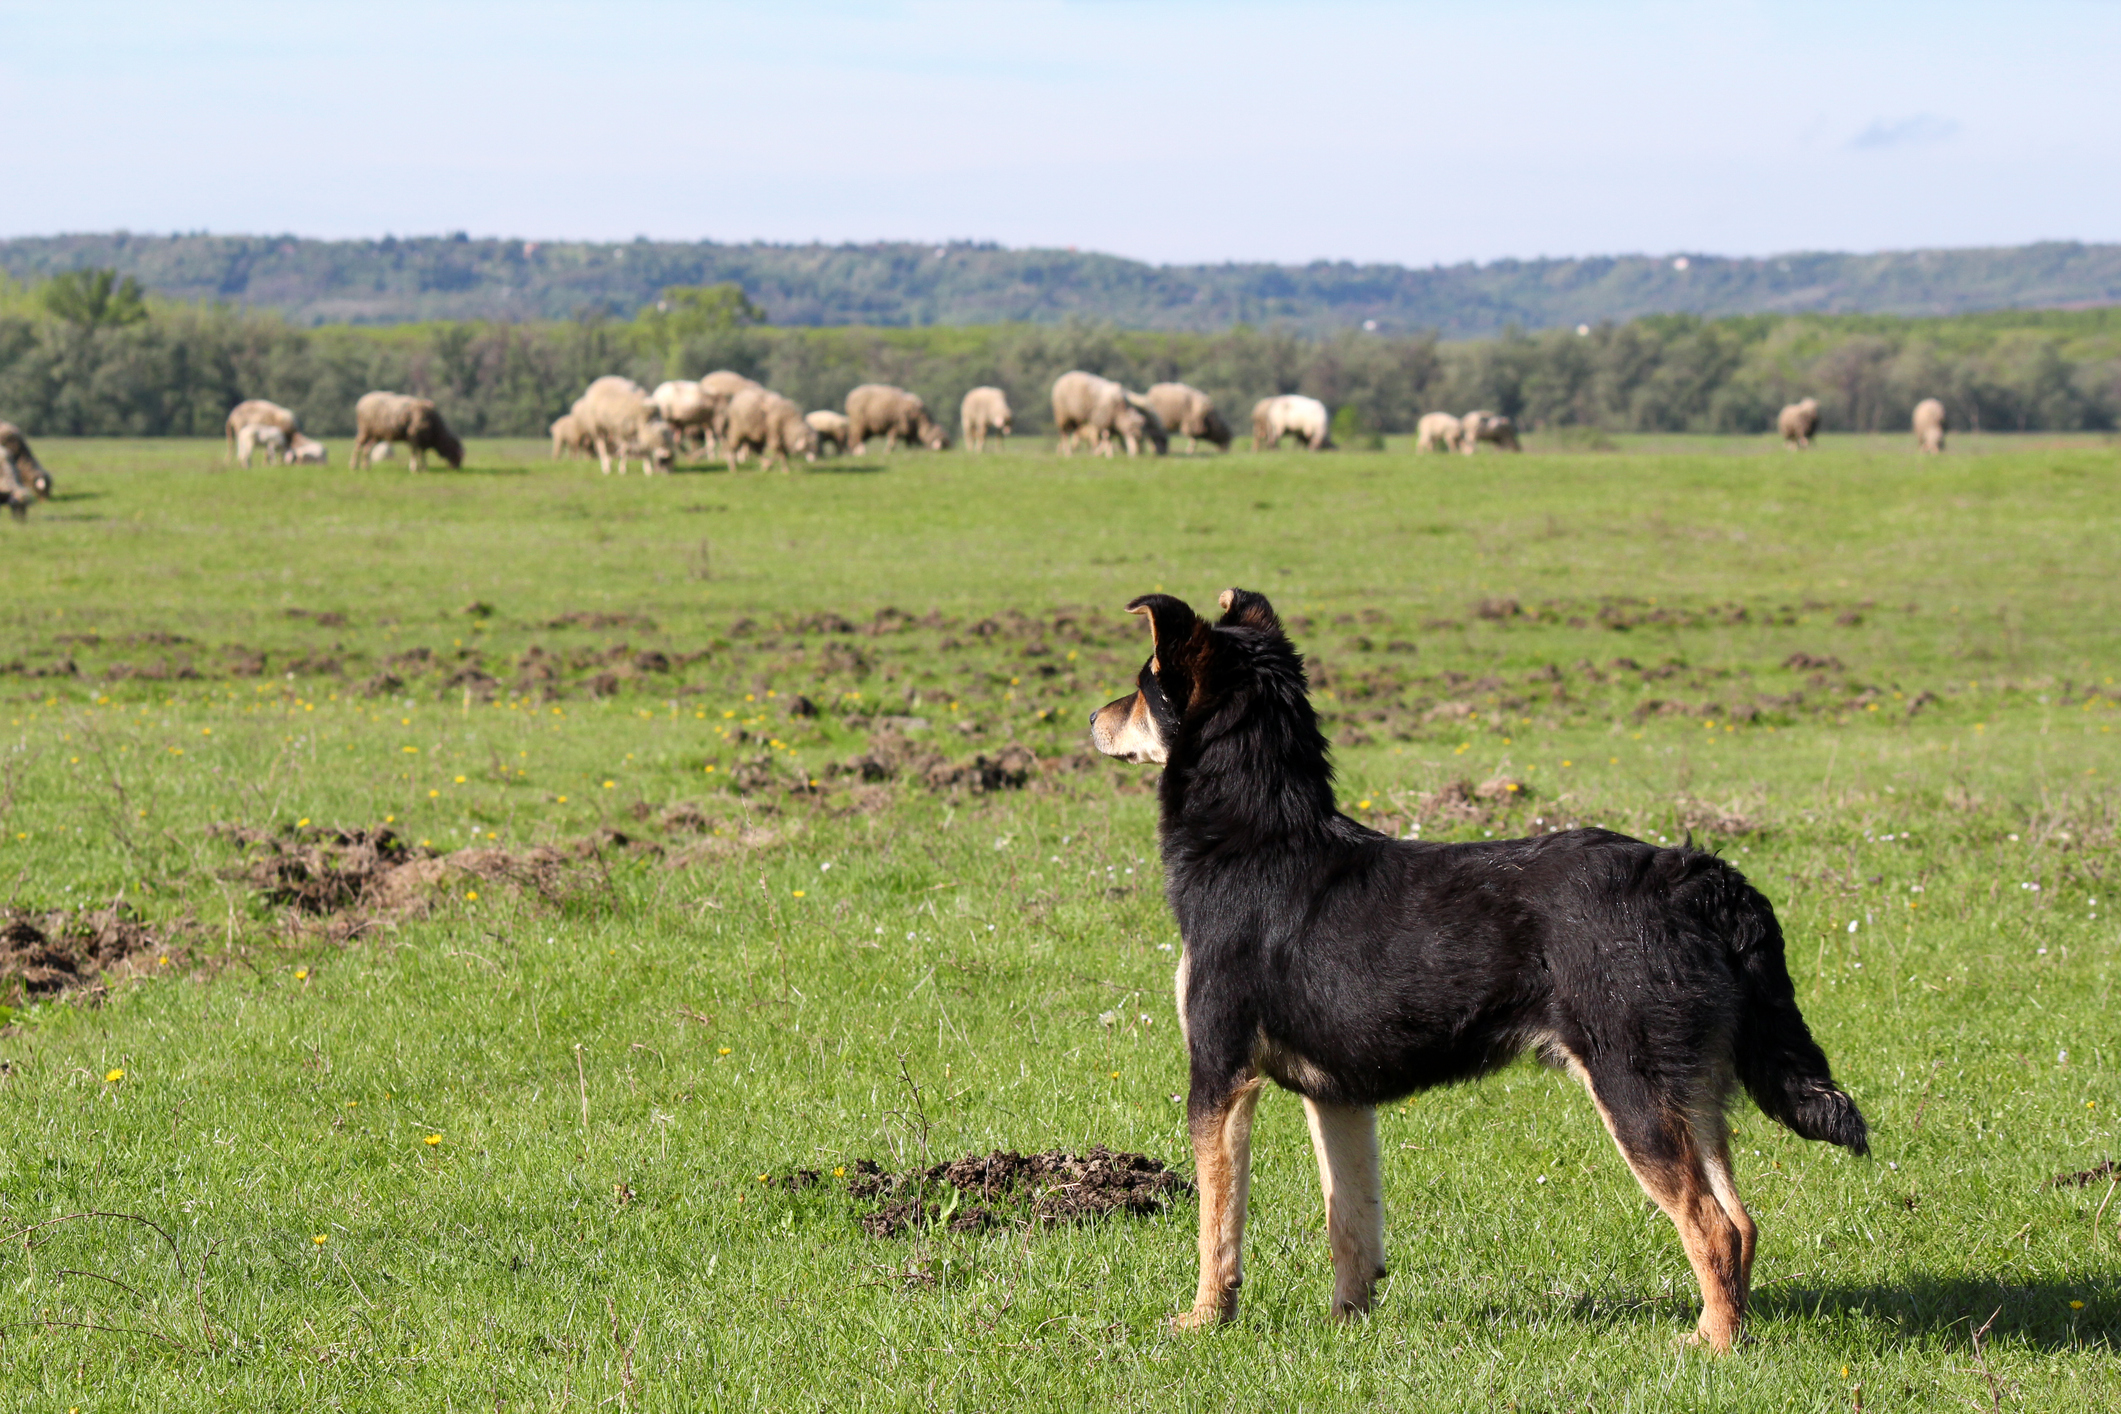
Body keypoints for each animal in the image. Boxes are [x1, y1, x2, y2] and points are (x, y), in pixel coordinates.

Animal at [1102, 585, 1866, 1348]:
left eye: (1142, 685)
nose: (1093, 719)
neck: (1257, 839)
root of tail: (1695, 877)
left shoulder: (1220, 1074)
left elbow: (1217, 1224)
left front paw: (1203, 1318)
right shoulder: (1339, 1093)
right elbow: (1350, 1220)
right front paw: (1348, 1321)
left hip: (1633, 1088)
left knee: (1711, 1226)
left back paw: (1711, 1347)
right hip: (1692, 1085)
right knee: (1741, 1220)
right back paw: (1724, 1327)